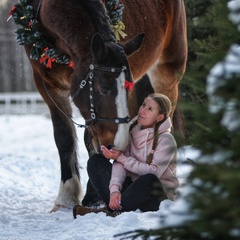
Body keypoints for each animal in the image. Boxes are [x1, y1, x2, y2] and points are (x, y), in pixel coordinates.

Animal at [10, 0, 188, 211]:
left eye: (126, 86)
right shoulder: (47, 86)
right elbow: (65, 138)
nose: (115, 143)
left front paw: (91, 195)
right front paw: (66, 197)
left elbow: (90, 139)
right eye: (103, 89)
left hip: (167, 74)